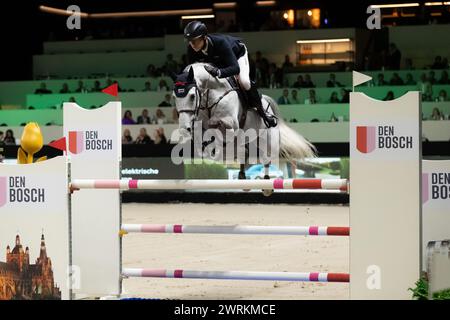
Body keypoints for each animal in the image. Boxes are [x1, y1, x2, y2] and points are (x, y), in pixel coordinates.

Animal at [171, 62, 314, 185]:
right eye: (174, 96)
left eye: (192, 96)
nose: (184, 127)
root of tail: (266, 101)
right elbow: (200, 135)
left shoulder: (231, 125)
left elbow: (216, 126)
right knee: (244, 152)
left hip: (267, 141)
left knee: (266, 159)